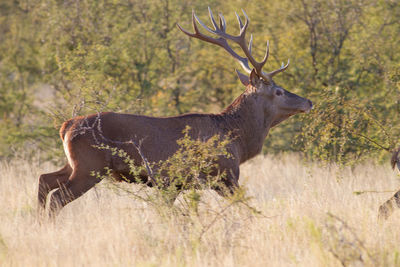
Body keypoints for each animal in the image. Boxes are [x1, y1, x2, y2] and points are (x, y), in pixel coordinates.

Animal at [37, 7, 312, 218]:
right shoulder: (223, 173)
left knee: (44, 180)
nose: (308, 102)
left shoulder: (175, 183)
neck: (238, 139)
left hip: (74, 163)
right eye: (278, 91)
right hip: (90, 166)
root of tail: (66, 126)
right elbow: (244, 208)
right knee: (57, 197)